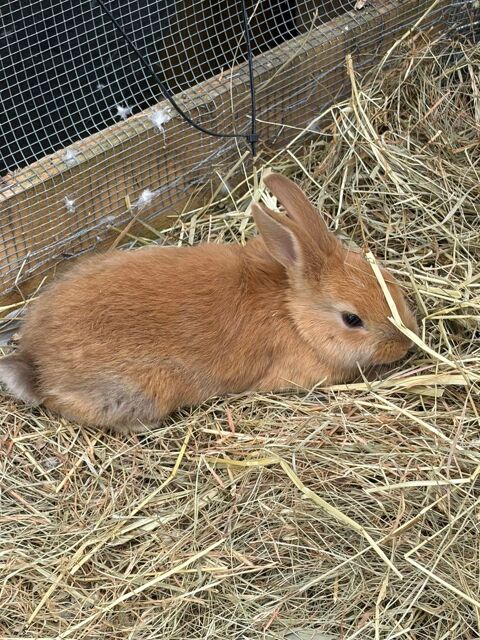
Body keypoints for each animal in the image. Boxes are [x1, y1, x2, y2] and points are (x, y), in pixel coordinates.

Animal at [0, 174, 418, 433]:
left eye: (385, 276)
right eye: (352, 319)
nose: (406, 343)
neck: (293, 311)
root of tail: (35, 363)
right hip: (144, 391)